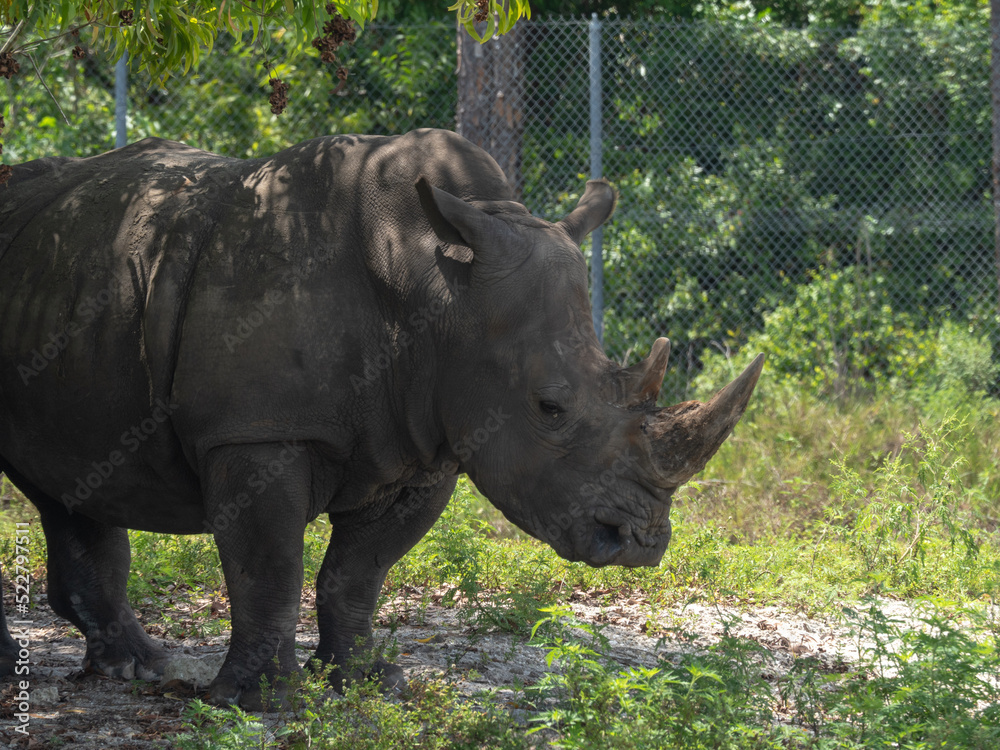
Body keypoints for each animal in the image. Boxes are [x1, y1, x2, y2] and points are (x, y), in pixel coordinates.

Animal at [0, 129, 762, 707]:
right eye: (549, 409)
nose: (638, 541)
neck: (438, 286)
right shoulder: (259, 430)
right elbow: (269, 566)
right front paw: (261, 703)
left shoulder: (424, 445)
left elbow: (358, 572)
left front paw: (364, 682)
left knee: (72, 481)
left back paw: (137, 669)